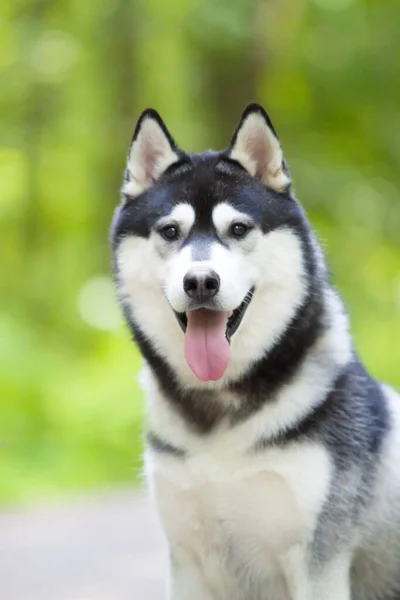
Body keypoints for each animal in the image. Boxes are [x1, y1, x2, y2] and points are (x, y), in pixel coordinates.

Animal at [111, 105, 400, 596]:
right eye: (170, 230)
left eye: (238, 228)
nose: (201, 282)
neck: (218, 411)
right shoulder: (186, 561)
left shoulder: (318, 564)